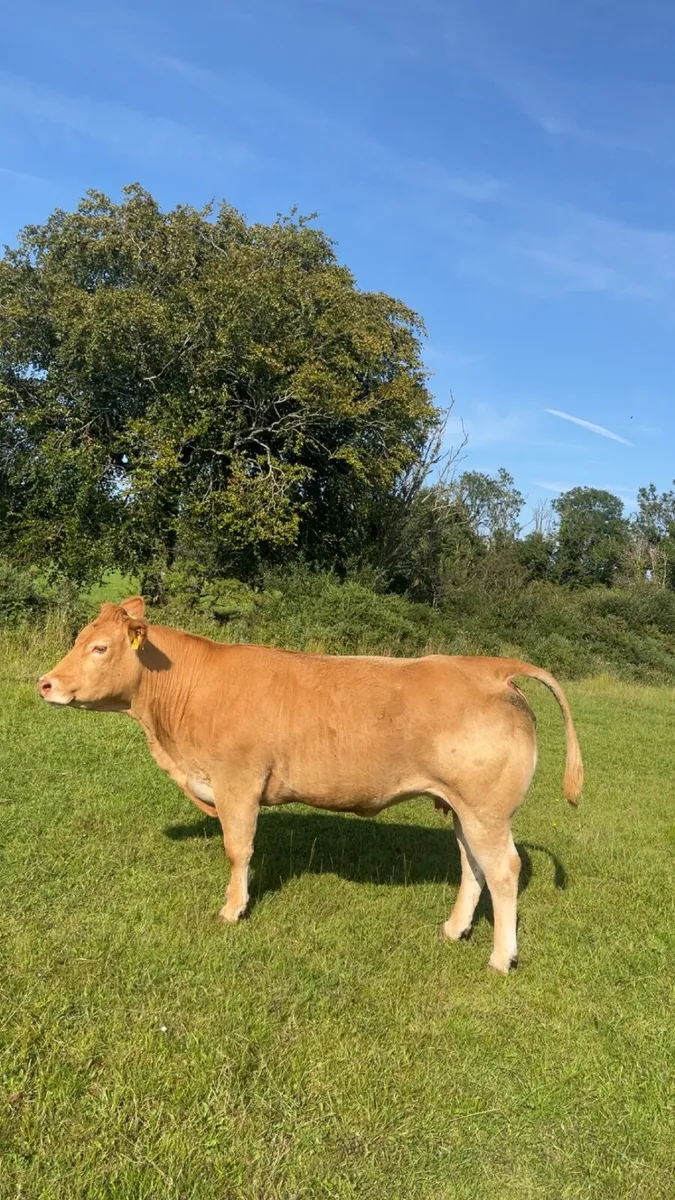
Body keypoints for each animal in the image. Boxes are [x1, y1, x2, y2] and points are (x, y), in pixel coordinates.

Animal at [37, 597, 583, 973]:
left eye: (100, 647)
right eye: (79, 639)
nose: (46, 683)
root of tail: (491, 667)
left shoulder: (238, 781)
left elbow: (238, 848)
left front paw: (232, 909)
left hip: (487, 810)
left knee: (504, 870)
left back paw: (501, 958)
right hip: (465, 809)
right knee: (473, 866)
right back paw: (454, 930)